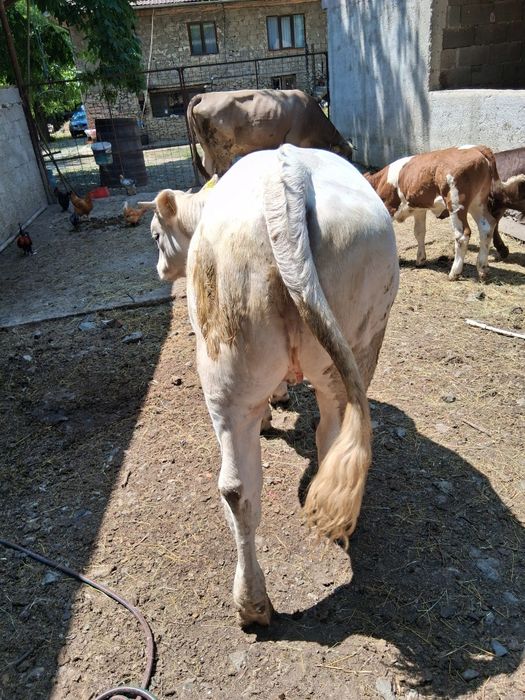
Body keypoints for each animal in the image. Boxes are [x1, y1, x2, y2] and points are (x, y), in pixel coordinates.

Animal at [142, 145, 399, 626]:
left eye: (154, 236)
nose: (160, 269)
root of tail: (288, 172)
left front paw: (275, 405)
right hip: (347, 353)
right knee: (309, 452)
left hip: (228, 364)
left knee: (240, 486)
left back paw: (251, 604)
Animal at [187, 89, 353, 179]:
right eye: (344, 158)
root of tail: (205, 96)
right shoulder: (294, 141)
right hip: (223, 150)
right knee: (220, 173)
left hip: (207, 148)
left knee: (208, 171)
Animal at [364, 145, 525, 281]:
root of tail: (476, 148)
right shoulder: (419, 209)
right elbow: (419, 232)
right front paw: (420, 259)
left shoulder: (389, 207)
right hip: (478, 202)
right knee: (487, 226)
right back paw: (482, 269)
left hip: (456, 203)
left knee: (462, 235)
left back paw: (455, 272)